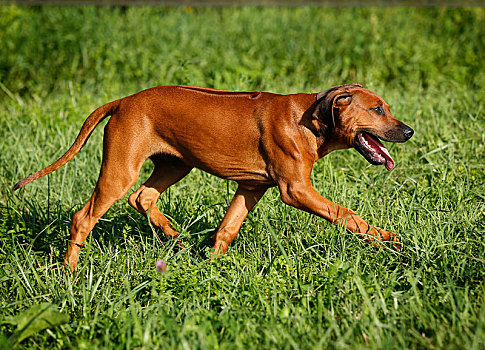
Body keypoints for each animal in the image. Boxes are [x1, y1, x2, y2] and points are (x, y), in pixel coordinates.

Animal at [13, 84, 412, 270]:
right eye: (377, 109)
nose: (408, 131)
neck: (312, 120)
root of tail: (123, 101)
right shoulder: (295, 189)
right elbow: (348, 215)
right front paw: (390, 240)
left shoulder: (252, 186)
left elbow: (227, 229)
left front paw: (212, 267)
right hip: (120, 168)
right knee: (84, 217)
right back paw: (70, 272)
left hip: (176, 163)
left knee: (142, 197)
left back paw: (174, 236)